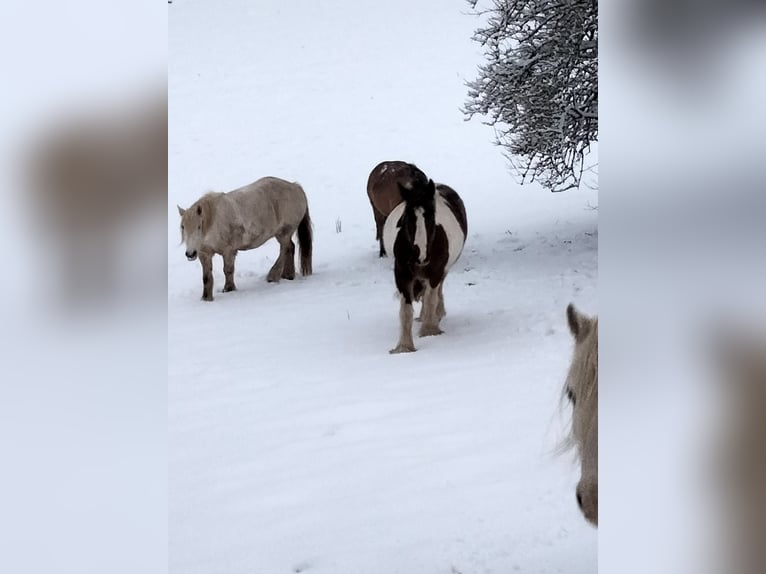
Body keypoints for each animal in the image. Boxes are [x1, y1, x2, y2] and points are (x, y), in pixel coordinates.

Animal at [178, 177, 314, 302]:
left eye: (199, 226)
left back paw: (273, 276)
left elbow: (228, 270)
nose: (190, 254)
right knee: (290, 248)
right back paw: (288, 275)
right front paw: (206, 298)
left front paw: (229, 289)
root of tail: (295, 186)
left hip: (284, 233)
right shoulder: (204, 254)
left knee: (285, 249)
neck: (214, 222)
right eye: (182, 227)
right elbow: (206, 277)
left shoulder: (229, 251)